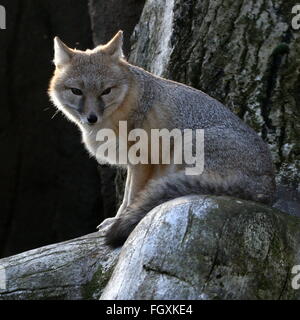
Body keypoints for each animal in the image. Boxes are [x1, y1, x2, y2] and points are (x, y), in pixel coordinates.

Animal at [48, 31, 276, 248]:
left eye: (106, 91)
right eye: (77, 91)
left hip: (186, 146)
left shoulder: (142, 161)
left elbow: (132, 197)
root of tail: (267, 184)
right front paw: (114, 219)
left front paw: (119, 221)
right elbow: (126, 198)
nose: (91, 118)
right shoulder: (133, 163)